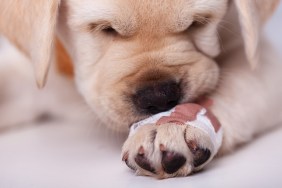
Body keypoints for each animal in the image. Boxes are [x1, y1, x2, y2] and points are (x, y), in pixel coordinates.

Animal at [0, 0, 282, 178]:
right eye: (105, 29)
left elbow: (233, 86)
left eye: (198, 23)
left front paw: (172, 126)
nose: (159, 98)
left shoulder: (261, 61)